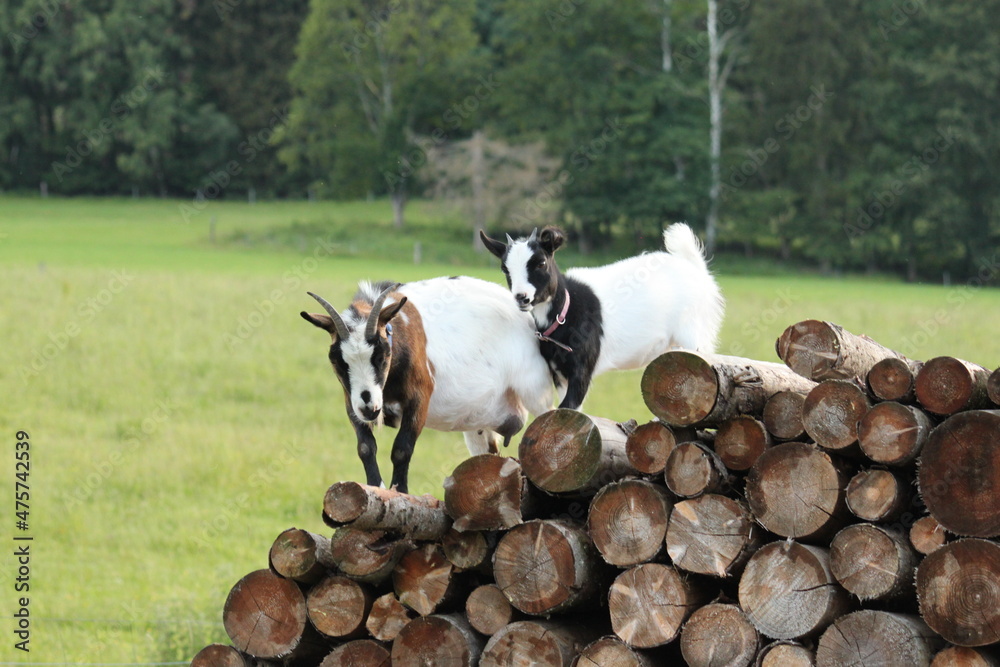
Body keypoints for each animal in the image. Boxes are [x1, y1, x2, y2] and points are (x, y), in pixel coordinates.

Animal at [301, 277, 554, 493]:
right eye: (336, 361)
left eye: (382, 355)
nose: (370, 408)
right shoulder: (351, 402)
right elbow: (365, 447)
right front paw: (376, 487)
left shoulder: (419, 397)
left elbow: (402, 449)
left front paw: (400, 491)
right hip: (480, 423)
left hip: (535, 391)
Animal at [480, 224, 724, 410]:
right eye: (505, 269)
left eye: (541, 263)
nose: (522, 297)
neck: (567, 309)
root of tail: (693, 266)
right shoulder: (558, 372)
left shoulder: (582, 369)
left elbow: (568, 408)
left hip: (694, 332)